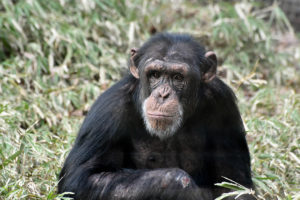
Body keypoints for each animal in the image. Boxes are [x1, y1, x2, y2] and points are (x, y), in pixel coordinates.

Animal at [58, 33, 255, 200]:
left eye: (178, 77)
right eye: (155, 74)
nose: (163, 94)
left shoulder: (223, 104)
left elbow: (234, 184)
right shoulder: (107, 114)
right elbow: (79, 179)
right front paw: (179, 184)